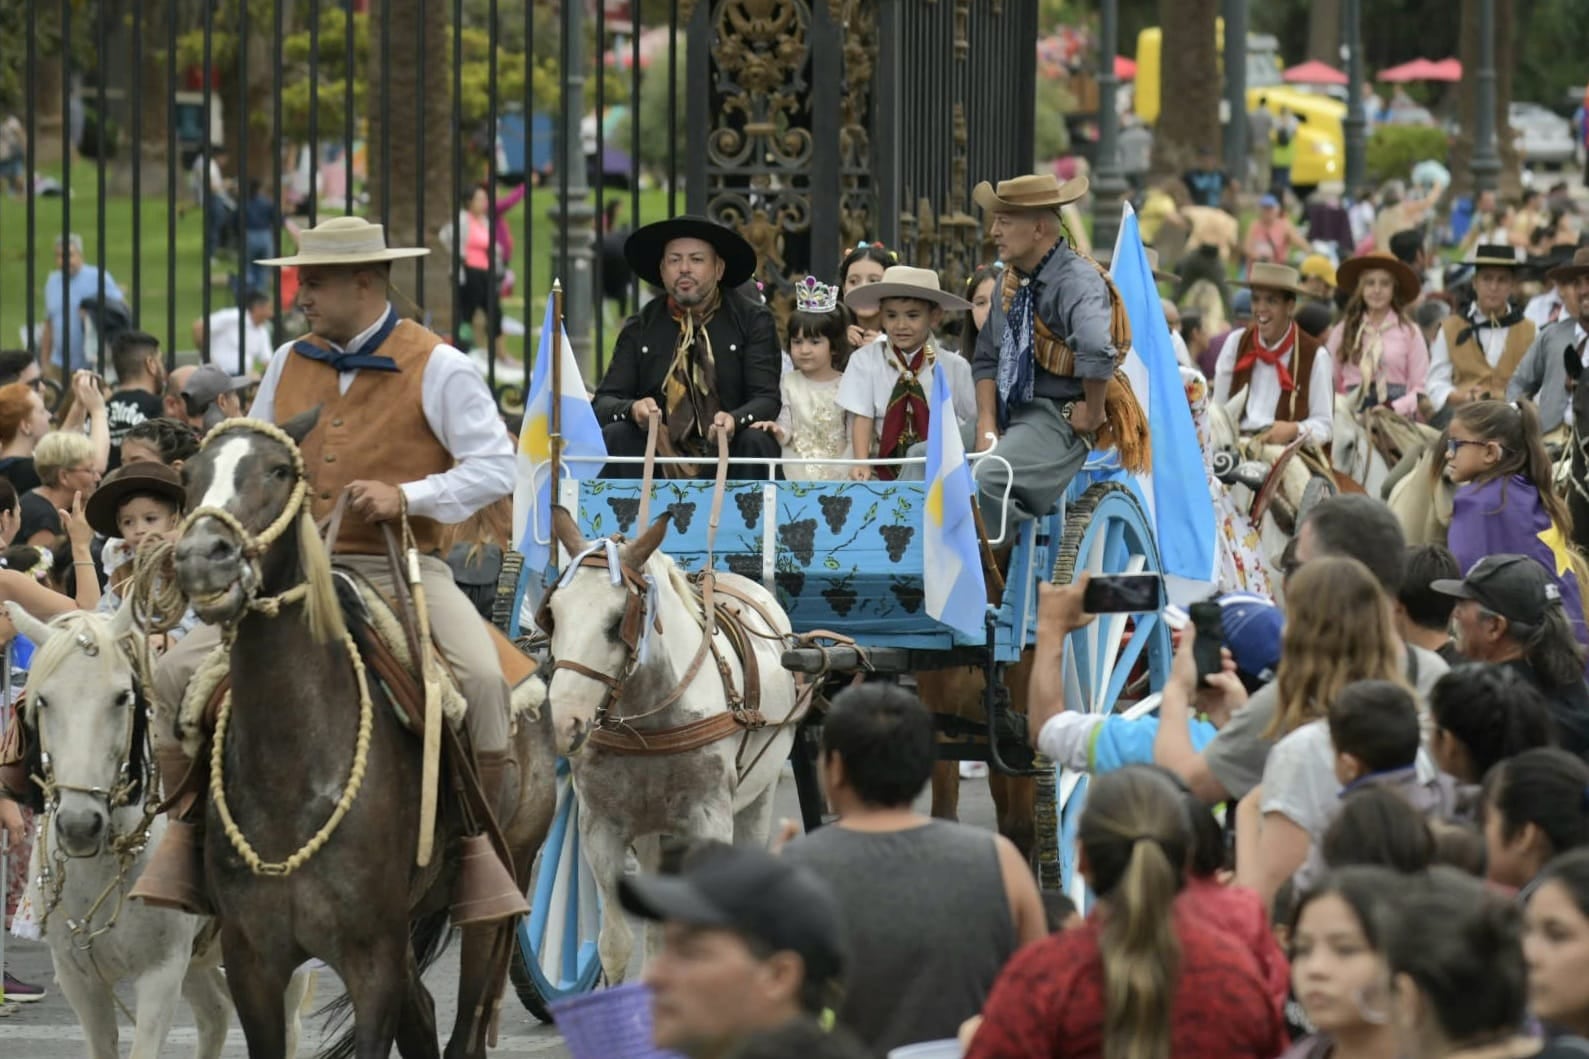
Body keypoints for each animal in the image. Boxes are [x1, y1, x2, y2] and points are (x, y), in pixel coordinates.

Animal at [7, 601, 308, 1055]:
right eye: (43, 699)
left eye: (121, 697)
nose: (80, 825)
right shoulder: (80, 981)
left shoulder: (160, 974)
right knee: (215, 1013)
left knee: (286, 1027)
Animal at [172, 413, 559, 1055]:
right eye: (190, 474)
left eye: (279, 470)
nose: (204, 557)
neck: (293, 768)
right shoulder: (252, 960)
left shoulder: (371, 957)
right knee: (423, 1015)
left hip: (501, 890)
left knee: (465, 1028)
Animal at [546, 508, 800, 979]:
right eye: (553, 612)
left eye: (618, 621)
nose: (562, 722)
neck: (646, 721)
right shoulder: (600, 829)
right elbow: (616, 945)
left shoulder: (710, 822)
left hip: (758, 798)